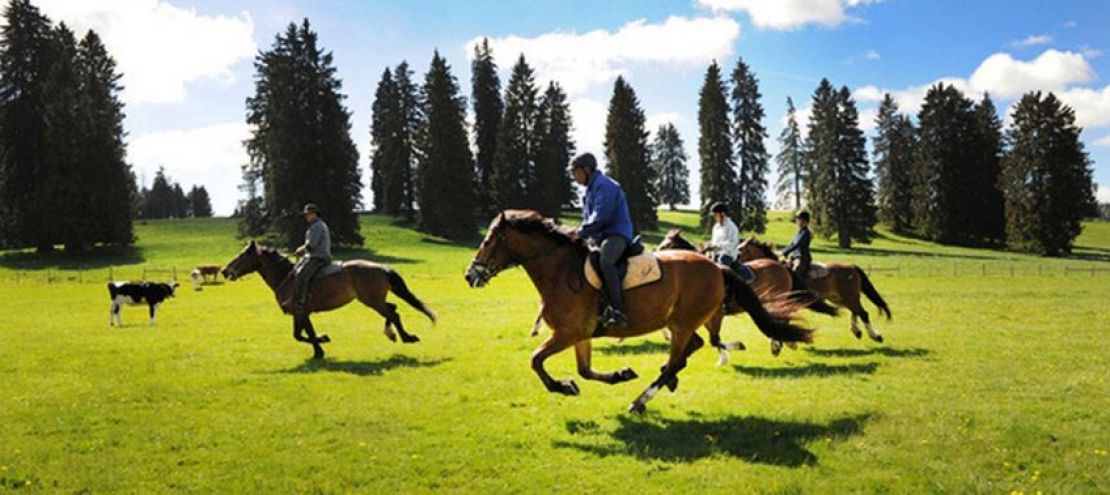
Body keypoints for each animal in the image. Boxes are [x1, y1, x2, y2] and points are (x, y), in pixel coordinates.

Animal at [219, 240, 432, 359]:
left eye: (242, 256)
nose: (224, 271)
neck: (285, 276)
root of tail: (381, 267)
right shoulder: (300, 314)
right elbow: (299, 335)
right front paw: (321, 344)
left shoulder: (300, 311)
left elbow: (306, 334)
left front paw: (320, 347)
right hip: (375, 300)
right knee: (393, 309)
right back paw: (394, 334)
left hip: (372, 301)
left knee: (393, 313)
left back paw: (405, 337)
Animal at [463, 209, 812, 412]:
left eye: (489, 240)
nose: (470, 275)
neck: (560, 270)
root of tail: (716, 267)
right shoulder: (579, 334)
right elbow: (584, 370)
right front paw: (618, 374)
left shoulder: (566, 333)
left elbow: (535, 360)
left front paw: (561, 386)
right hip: (683, 321)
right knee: (695, 346)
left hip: (685, 322)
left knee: (684, 354)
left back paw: (642, 398)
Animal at [652, 228, 834, 355]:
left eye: (666, 245)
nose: (656, 256)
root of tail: (783, 267)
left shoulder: (714, 313)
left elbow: (713, 338)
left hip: (778, 299)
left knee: (785, 317)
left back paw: (780, 343)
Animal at [737, 236, 892, 339]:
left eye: (741, 250)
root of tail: (852, 267)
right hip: (839, 298)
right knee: (856, 311)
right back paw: (857, 331)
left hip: (850, 296)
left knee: (863, 313)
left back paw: (875, 336)